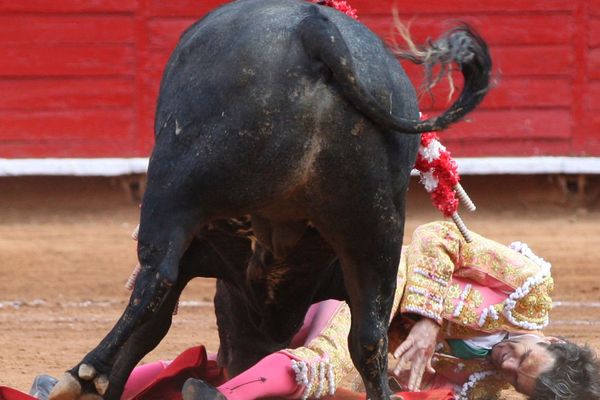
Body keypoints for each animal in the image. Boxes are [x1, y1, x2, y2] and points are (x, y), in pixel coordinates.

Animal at [49, 0, 492, 398]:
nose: (232, 364)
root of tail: (317, 32)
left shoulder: (195, 247)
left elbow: (150, 325)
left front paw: (94, 379)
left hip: (175, 188)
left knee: (155, 278)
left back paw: (87, 369)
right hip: (375, 227)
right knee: (370, 335)